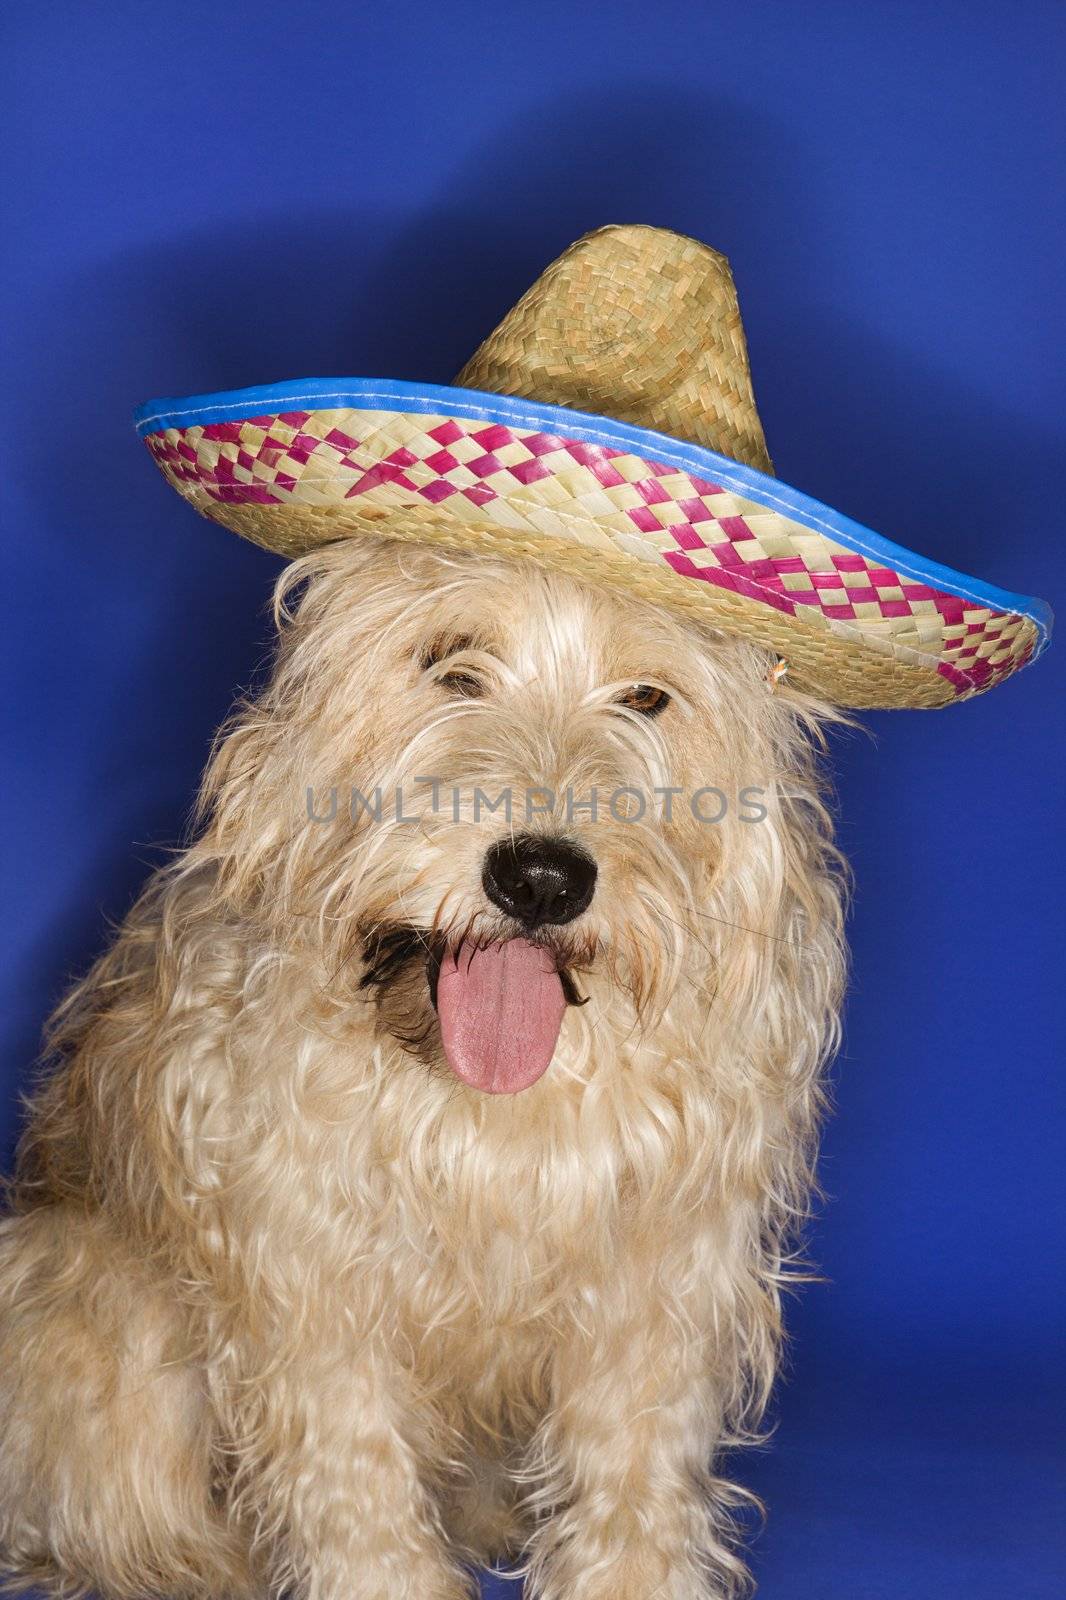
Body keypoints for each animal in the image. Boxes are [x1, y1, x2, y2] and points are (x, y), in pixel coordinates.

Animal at [2, 540, 845, 1600]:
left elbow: (634, 1464)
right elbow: (352, 1477)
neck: (494, 1114)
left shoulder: (663, 1272)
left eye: (648, 696)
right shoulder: (309, 1274)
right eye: (452, 663)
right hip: (95, 1296)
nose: (541, 879)